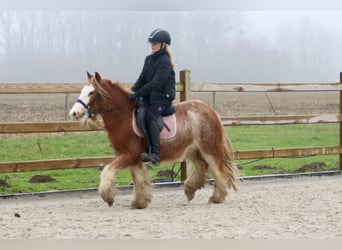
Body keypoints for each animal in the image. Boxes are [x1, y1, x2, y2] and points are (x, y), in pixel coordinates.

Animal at [70, 72, 238, 209]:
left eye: (91, 92)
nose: (74, 113)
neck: (123, 117)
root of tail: (211, 111)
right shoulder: (133, 158)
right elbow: (139, 179)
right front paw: (140, 202)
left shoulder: (128, 155)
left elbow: (107, 171)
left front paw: (108, 197)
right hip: (193, 150)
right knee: (203, 166)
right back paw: (190, 190)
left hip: (209, 149)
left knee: (219, 170)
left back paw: (217, 197)